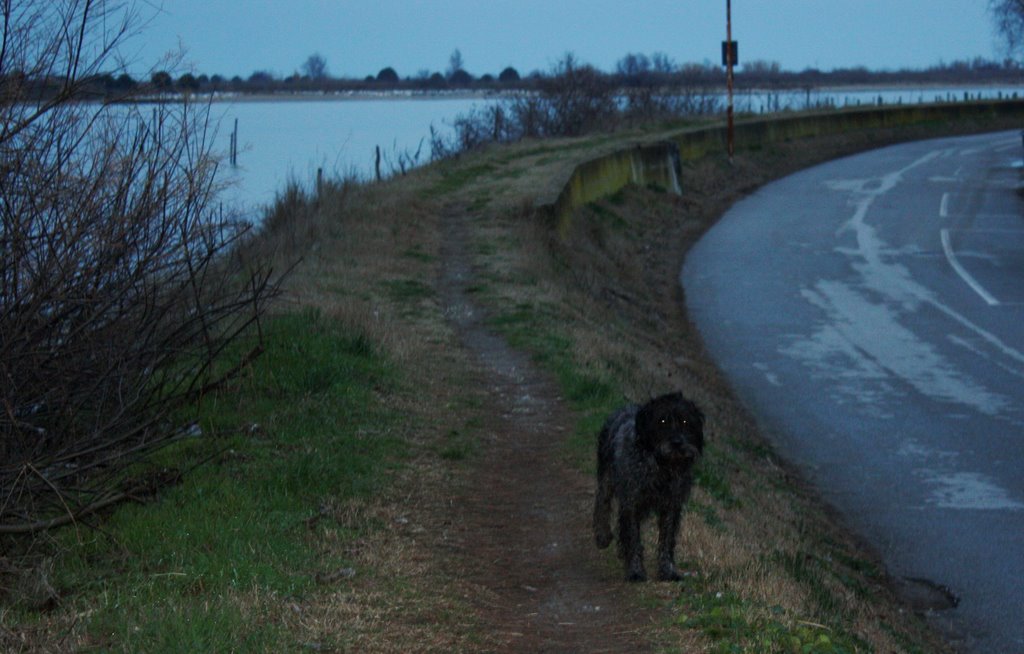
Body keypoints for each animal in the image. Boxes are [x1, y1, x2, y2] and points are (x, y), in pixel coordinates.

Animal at [593, 390, 704, 581]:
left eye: (685, 421)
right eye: (662, 421)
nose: (677, 443)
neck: (662, 467)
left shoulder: (671, 506)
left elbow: (666, 540)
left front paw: (667, 570)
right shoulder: (631, 502)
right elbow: (633, 537)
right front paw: (636, 570)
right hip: (607, 478)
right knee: (602, 502)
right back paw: (602, 535)